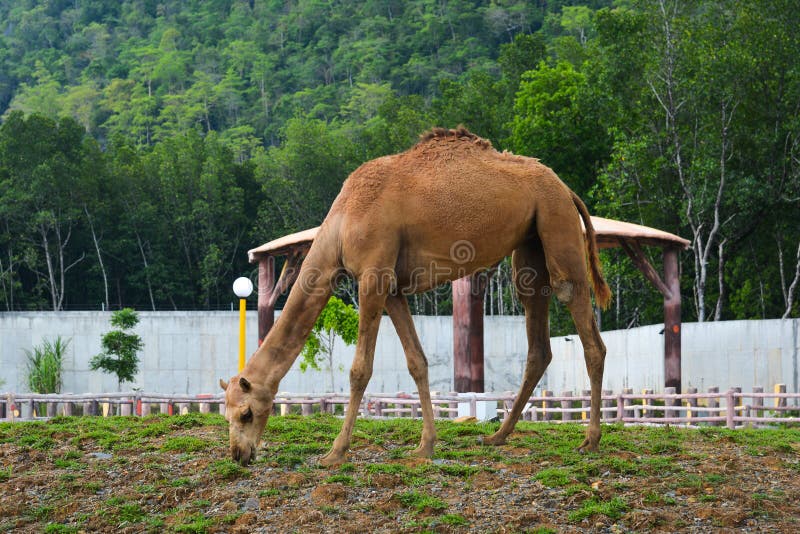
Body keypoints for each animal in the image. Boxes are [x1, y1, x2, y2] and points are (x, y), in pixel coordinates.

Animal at [219, 127, 608, 466]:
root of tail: (566, 188)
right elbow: (416, 361)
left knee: (584, 323)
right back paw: (498, 435)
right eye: (226, 415)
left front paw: (335, 453)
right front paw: (426, 446)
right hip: (530, 244)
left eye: (246, 412)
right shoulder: (393, 289)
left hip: (556, 221)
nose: (239, 455)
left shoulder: (373, 276)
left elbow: (360, 369)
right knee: (537, 335)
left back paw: (589, 440)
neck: (342, 226)